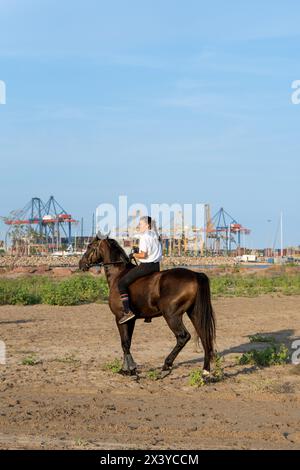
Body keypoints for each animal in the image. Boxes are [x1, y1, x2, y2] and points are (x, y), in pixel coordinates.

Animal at [79, 235, 216, 378]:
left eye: (89, 246)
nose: (80, 264)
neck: (118, 274)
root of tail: (195, 274)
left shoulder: (120, 318)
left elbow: (124, 343)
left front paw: (130, 369)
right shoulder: (131, 320)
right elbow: (128, 343)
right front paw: (127, 369)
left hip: (171, 315)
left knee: (183, 337)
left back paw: (166, 366)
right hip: (194, 313)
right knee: (204, 337)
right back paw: (205, 371)